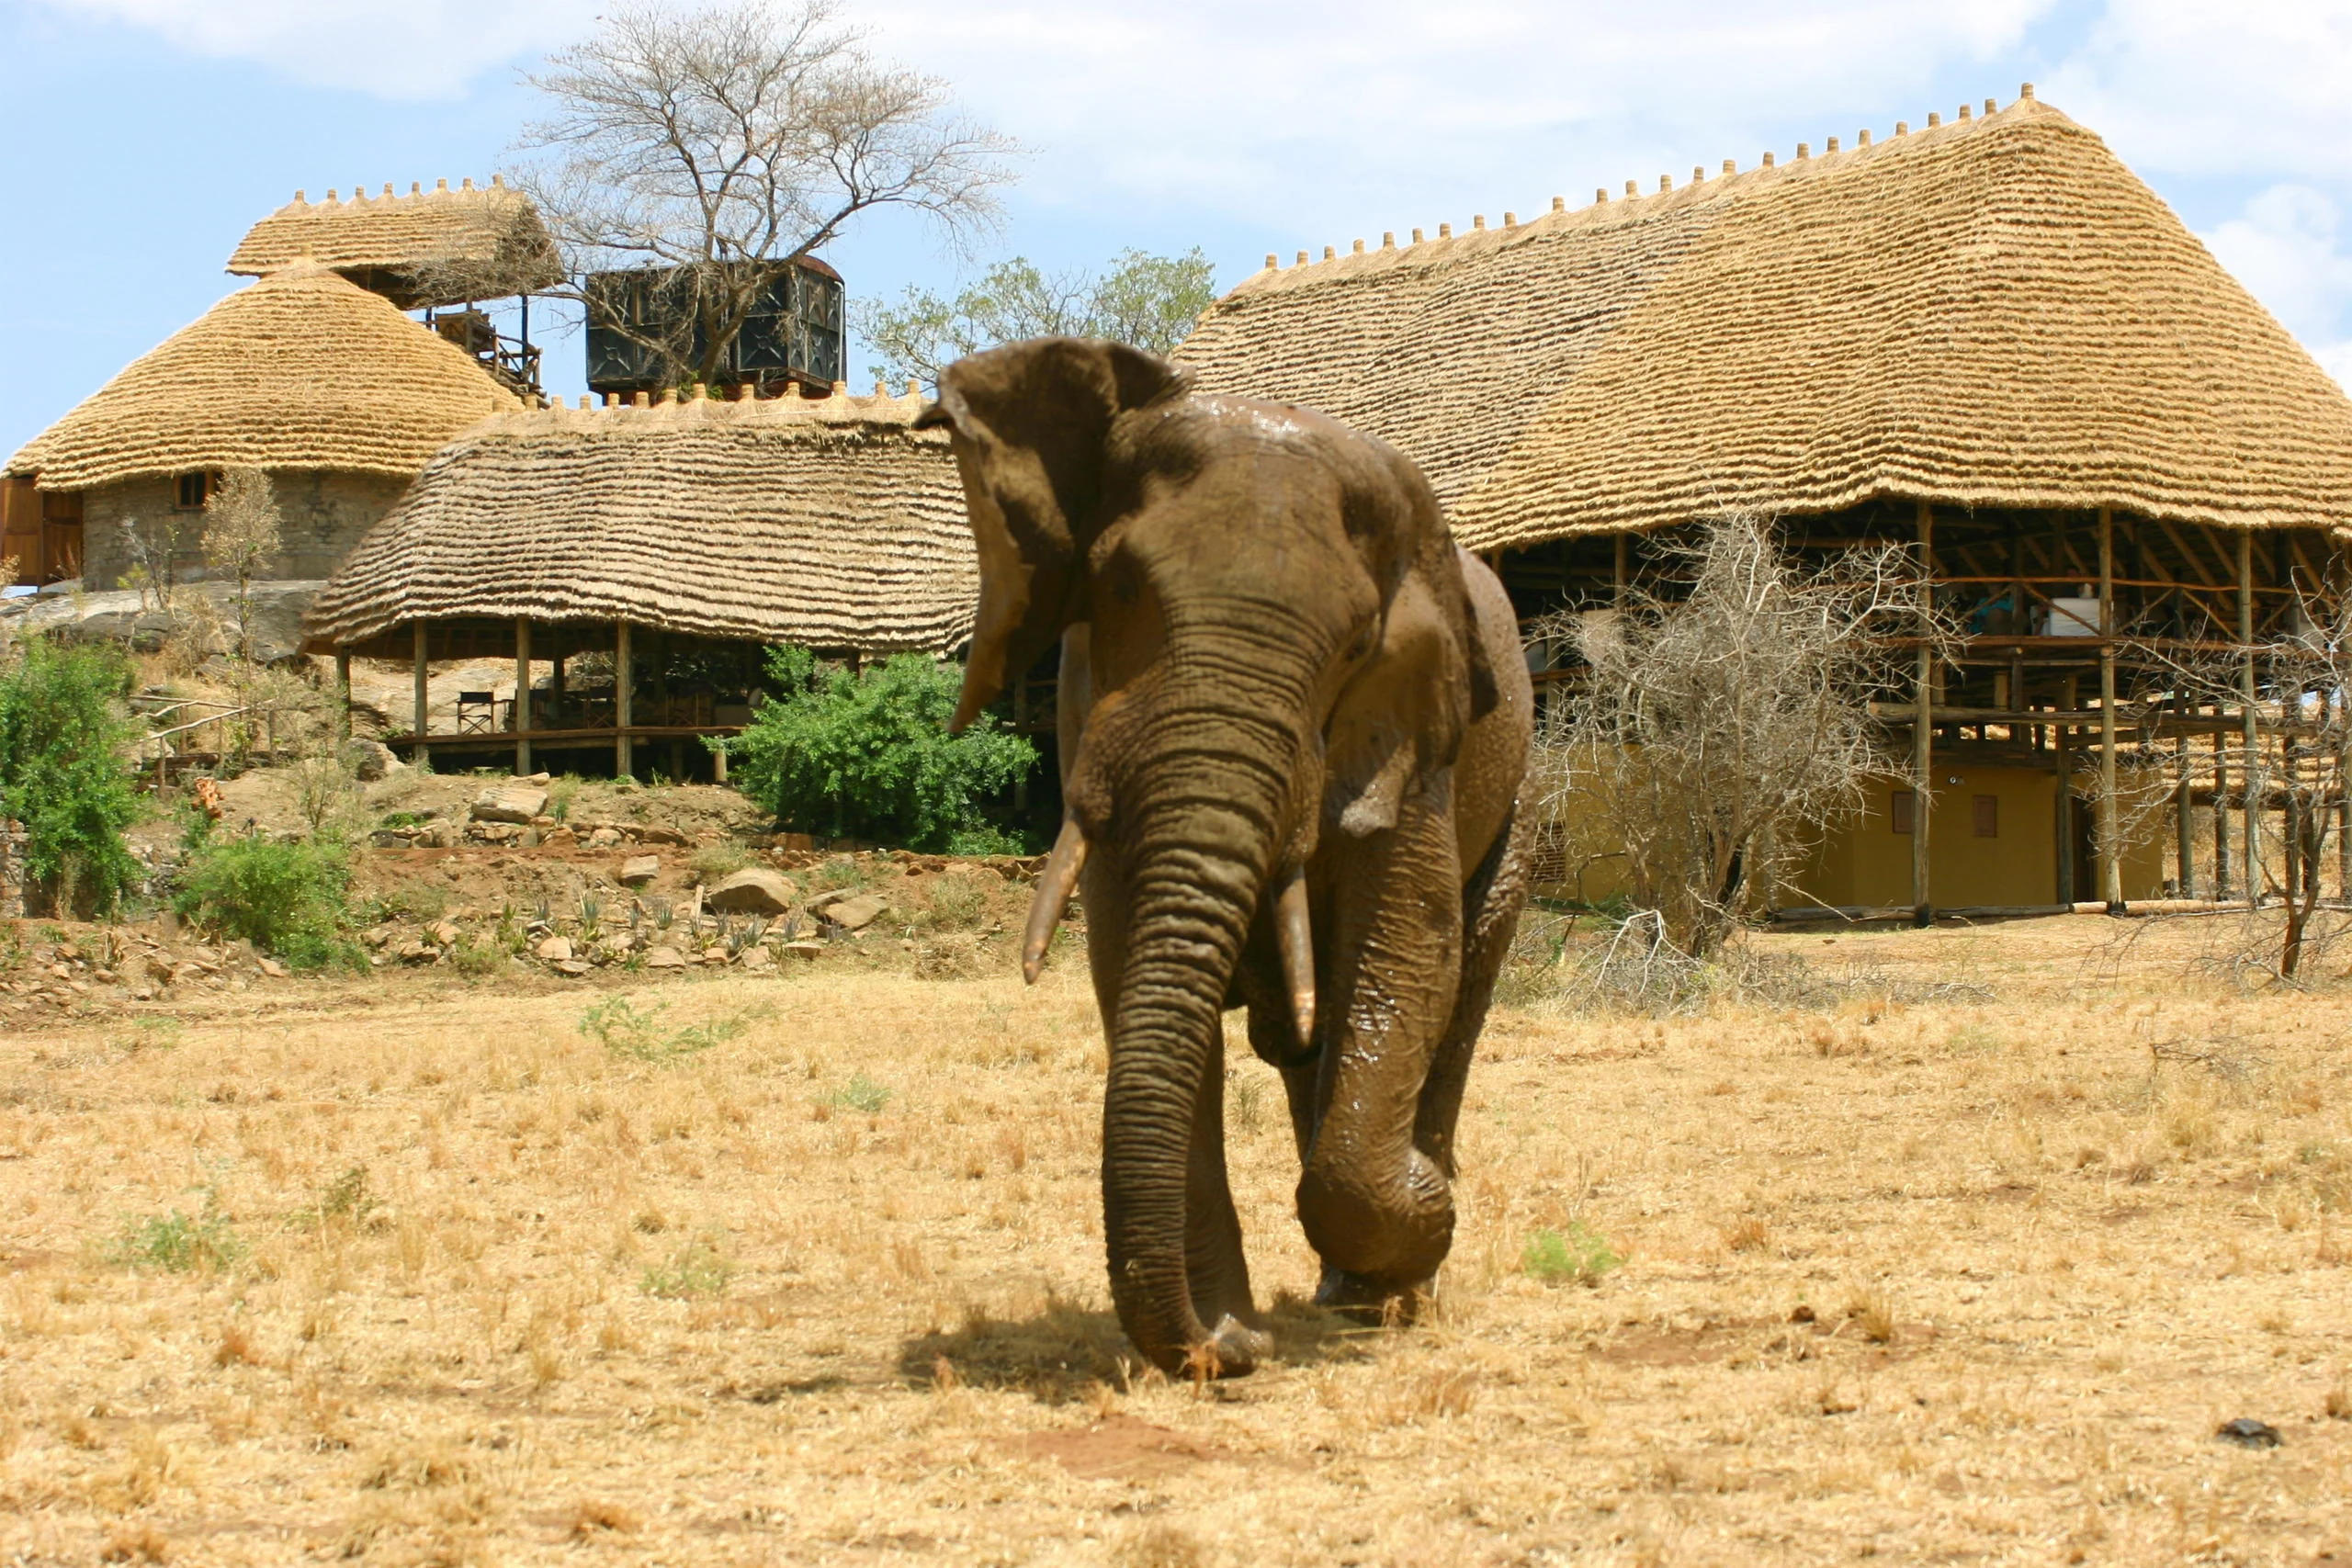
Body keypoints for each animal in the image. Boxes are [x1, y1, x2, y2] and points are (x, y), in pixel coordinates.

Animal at [917, 338, 1532, 1377]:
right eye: (1119, 589)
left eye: (1354, 645)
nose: (1227, 1351)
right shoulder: (1088, 695)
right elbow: (1129, 950)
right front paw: (1230, 1329)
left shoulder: (1423, 724)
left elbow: (1409, 948)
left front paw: (1419, 1215)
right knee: (1304, 1034)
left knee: (1458, 992)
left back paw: (1398, 1281)